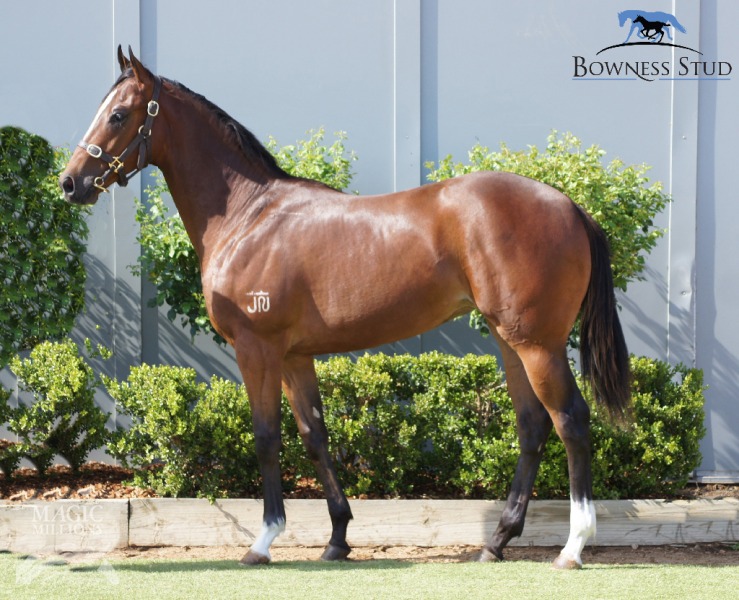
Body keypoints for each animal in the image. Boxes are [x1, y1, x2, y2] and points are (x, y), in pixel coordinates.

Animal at [60, 47, 630, 569]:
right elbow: (315, 436)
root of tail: (570, 206)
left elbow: (266, 437)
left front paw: (263, 541)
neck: (249, 215)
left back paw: (573, 547)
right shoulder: (294, 356)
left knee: (571, 422)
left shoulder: (257, 349)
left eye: (118, 114)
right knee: (532, 426)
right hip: (510, 339)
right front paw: (337, 538)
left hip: (538, 345)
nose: (71, 183)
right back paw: (496, 542)